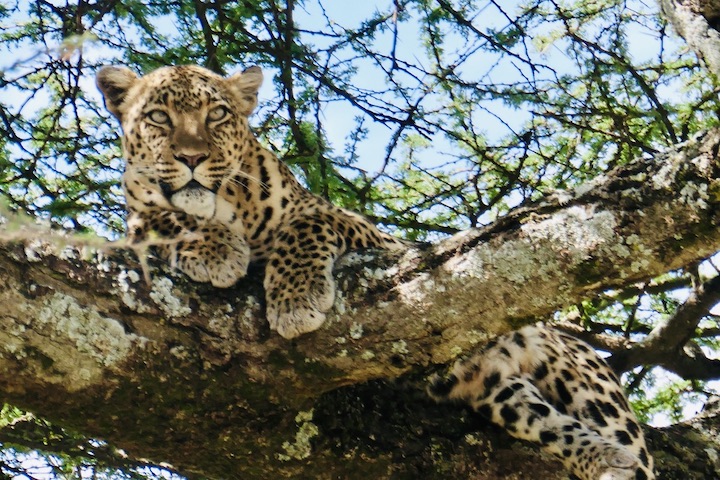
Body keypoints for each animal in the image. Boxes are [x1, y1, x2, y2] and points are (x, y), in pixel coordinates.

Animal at [95, 64, 652, 480]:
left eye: (217, 115)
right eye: (159, 117)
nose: (191, 157)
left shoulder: (373, 237)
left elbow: (307, 224)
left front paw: (295, 300)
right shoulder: (139, 216)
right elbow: (160, 219)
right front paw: (213, 247)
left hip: (590, 388)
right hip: (498, 390)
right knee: (547, 422)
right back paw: (604, 459)